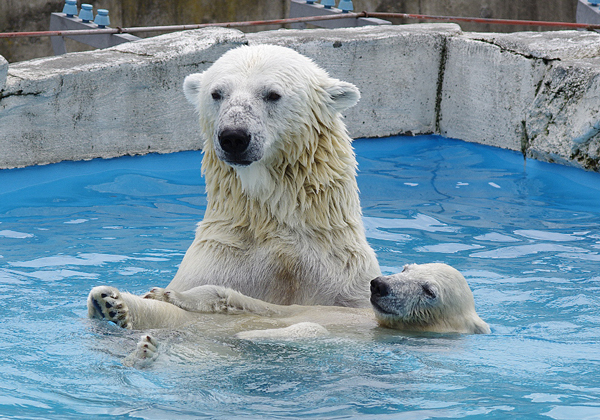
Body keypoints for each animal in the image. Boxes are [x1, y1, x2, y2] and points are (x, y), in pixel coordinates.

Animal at [88, 44, 380, 330]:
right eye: (217, 93)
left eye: (273, 94)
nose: (233, 137)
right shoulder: (222, 257)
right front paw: (113, 301)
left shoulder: (340, 274)